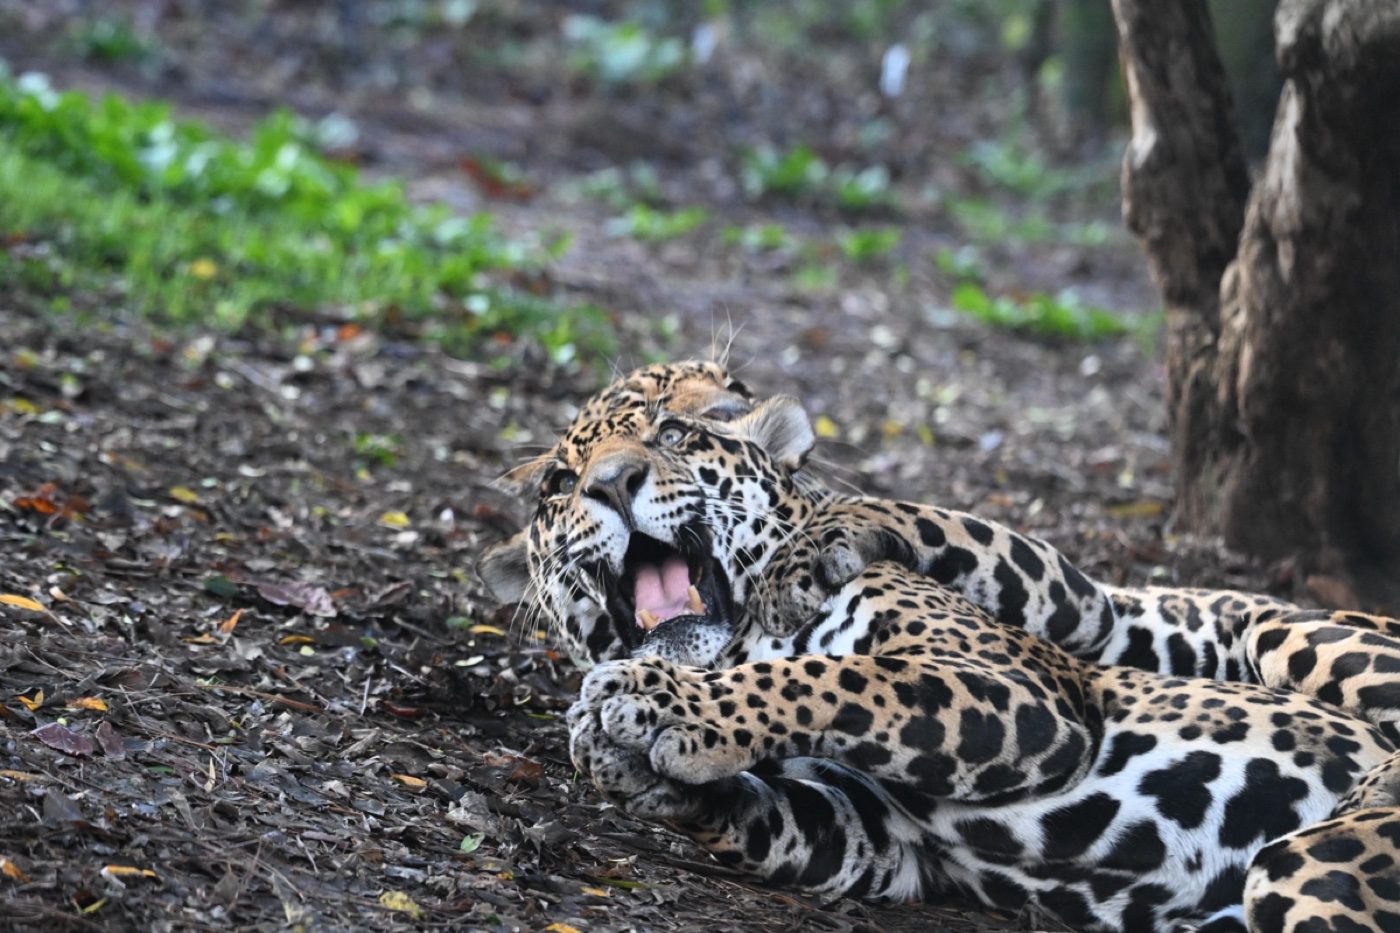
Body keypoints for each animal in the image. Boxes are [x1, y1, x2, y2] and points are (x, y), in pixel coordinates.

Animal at [478, 367, 1400, 933]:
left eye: (672, 435)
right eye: (559, 484)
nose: (610, 484)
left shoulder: (1018, 692)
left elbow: (831, 676)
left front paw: (653, 700)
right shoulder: (874, 831)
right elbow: (767, 803)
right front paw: (628, 760)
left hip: (1318, 838)